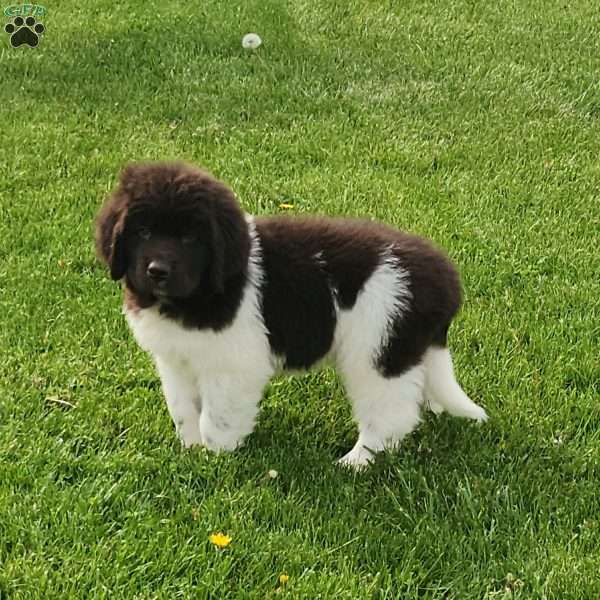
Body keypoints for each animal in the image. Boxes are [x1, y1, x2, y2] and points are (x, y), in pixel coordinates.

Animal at [95, 161, 488, 468]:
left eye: (191, 238)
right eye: (144, 231)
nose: (157, 271)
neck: (196, 297)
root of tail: (445, 279)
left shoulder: (233, 364)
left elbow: (215, 417)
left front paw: (217, 458)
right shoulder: (177, 360)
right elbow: (183, 409)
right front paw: (191, 451)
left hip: (378, 348)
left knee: (391, 412)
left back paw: (356, 461)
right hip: (404, 345)